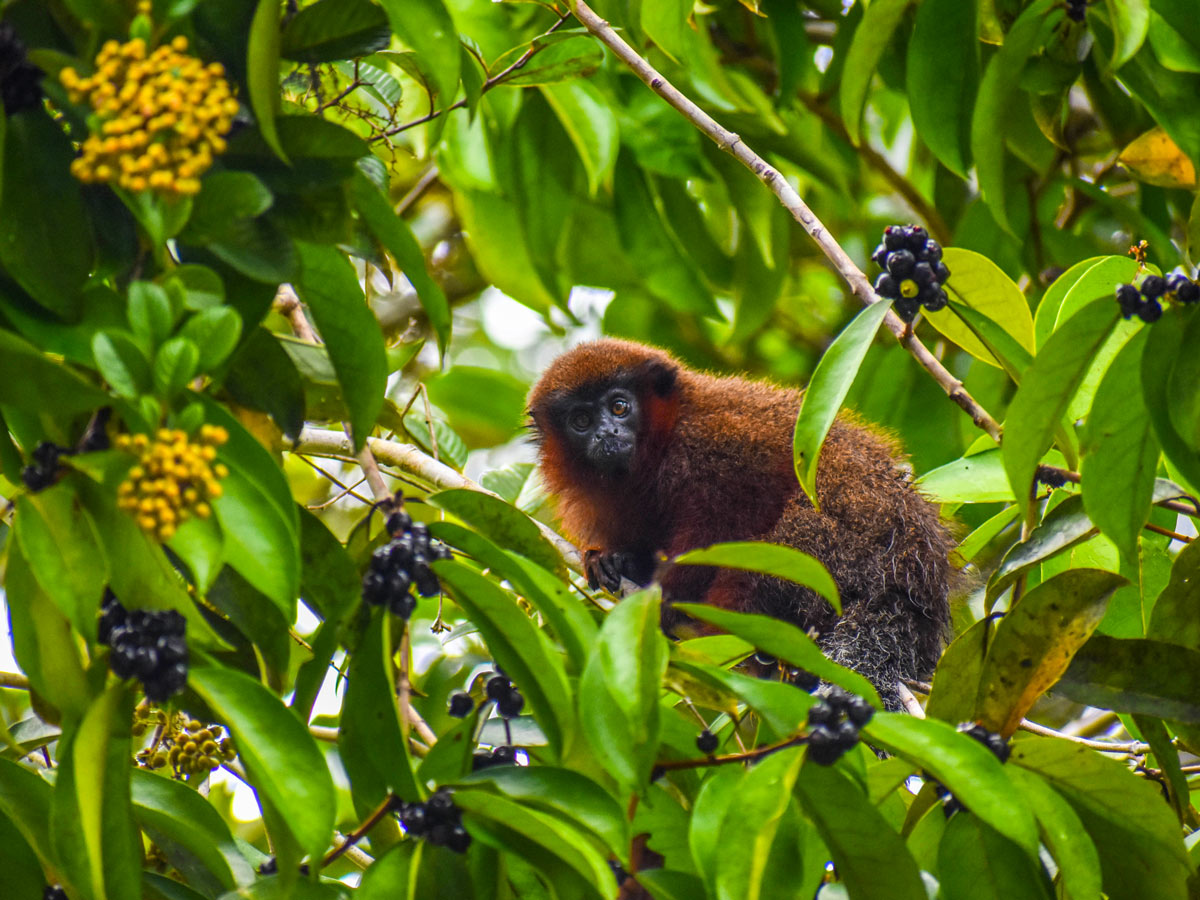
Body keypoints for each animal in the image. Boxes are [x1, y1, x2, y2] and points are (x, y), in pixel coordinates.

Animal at [530, 338, 950, 710]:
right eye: (581, 420)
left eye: (619, 407)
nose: (606, 433)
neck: (662, 444)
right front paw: (614, 559)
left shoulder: (717, 444)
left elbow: (728, 518)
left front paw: (666, 596)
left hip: (855, 545)